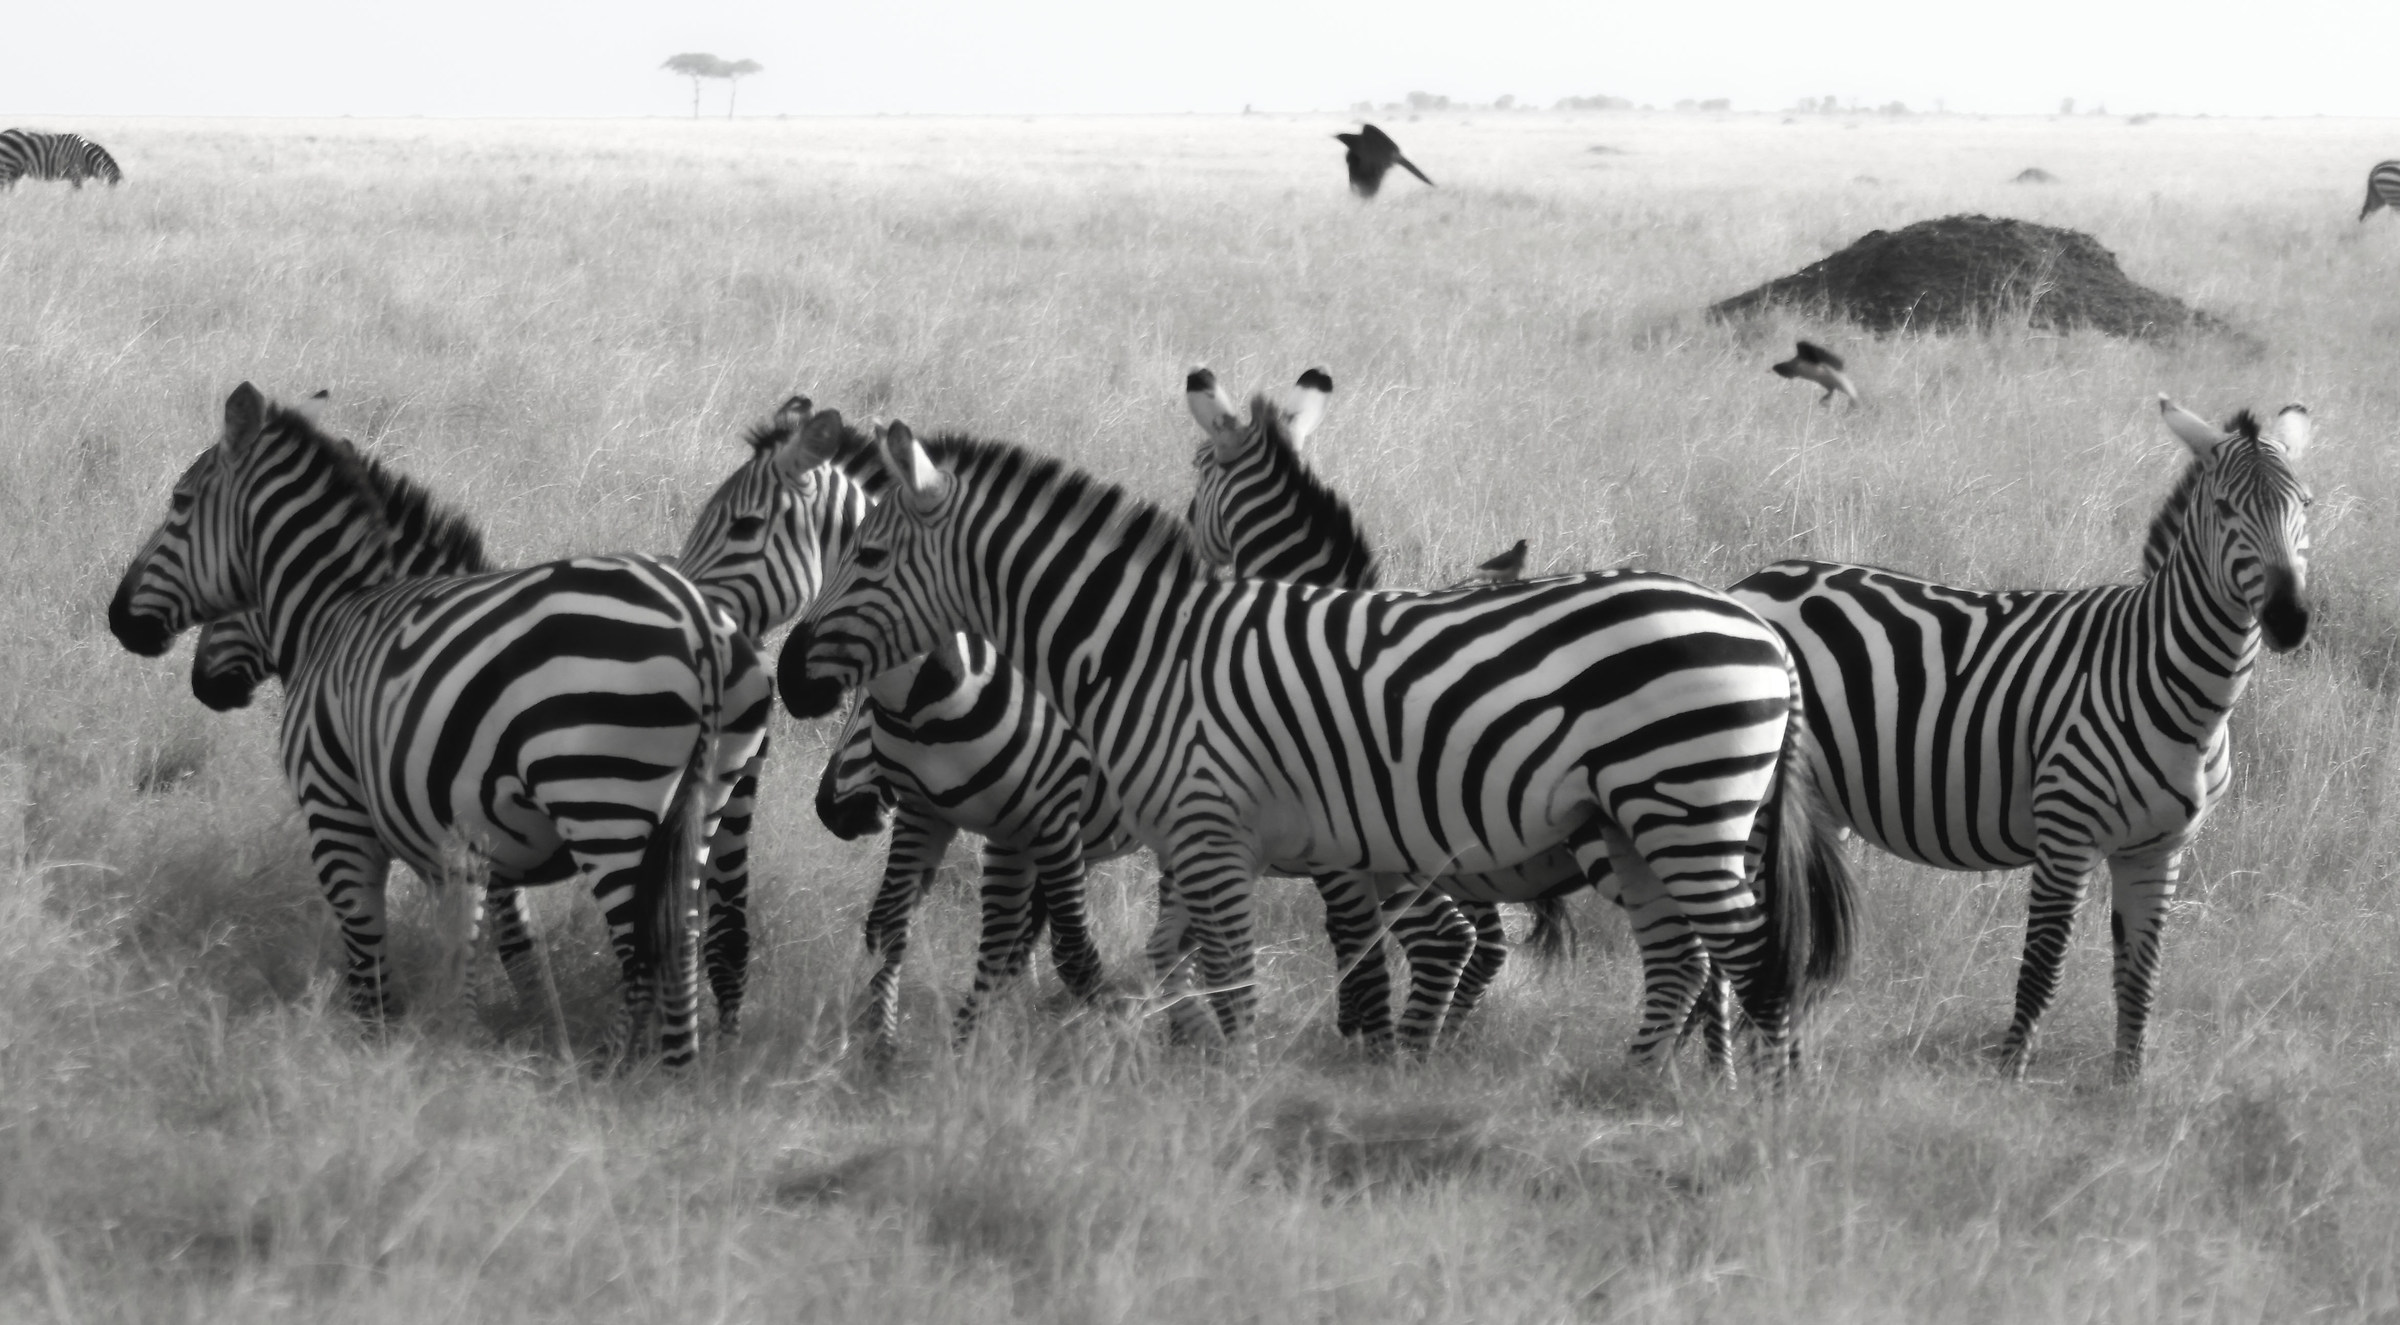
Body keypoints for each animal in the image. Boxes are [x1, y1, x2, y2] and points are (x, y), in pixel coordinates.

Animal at [109, 383, 771, 1067]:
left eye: (179, 504)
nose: (119, 619)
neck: (334, 614)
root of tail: (695, 619)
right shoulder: (471, 850)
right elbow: (492, 948)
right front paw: (499, 1037)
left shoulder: (337, 815)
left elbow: (370, 953)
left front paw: (382, 1054)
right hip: (716, 798)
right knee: (695, 936)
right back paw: (676, 1071)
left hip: (601, 797)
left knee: (642, 948)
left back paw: (613, 1071)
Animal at [789, 420, 1857, 1071]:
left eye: (868, 555)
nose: (794, 676)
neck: (1146, 650)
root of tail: (1761, 632)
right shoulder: (1192, 838)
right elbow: (1172, 960)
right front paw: (1179, 1052)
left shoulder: (1206, 829)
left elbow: (1228, 976)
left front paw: (1238, 1084)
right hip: (1640, 822)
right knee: (1683, 960)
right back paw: (1635, 1092)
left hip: (1683, 803)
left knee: (1752, 957)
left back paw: (1761, 1117)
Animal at [1728, 396, 2315, 1081]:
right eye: (2224, 509)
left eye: (2304, 504)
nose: (2289, 620)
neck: (2178, 687)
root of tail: (1755, 581)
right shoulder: (2066, 832)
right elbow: (2042, 969)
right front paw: (2008, 1081)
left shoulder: (2157, 849)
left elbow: (2140, 978)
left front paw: (2127, 1089)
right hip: (1750, 795)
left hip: (1818, 803)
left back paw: (1784, 1070)